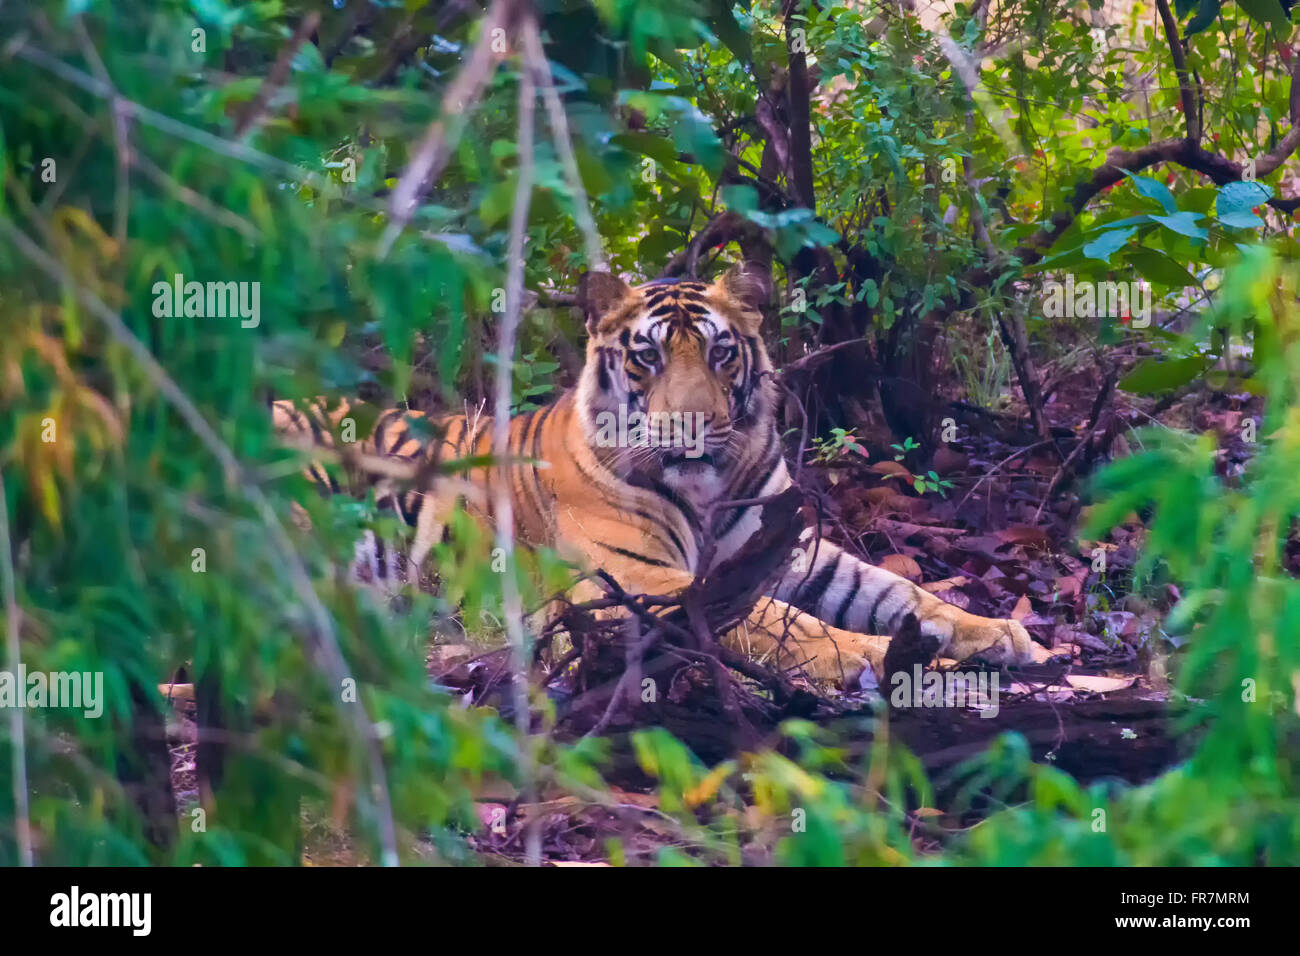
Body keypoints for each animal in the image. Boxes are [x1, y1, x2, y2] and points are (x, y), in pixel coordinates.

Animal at [274, 260, 1034, 686]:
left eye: (722, 352)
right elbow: (784, 621)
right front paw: (877, 656)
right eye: (647, 357)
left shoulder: (798, 550)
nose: (690, 424)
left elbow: (902, 590)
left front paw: (1000, 633)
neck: (711, 492)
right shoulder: (636, 581)